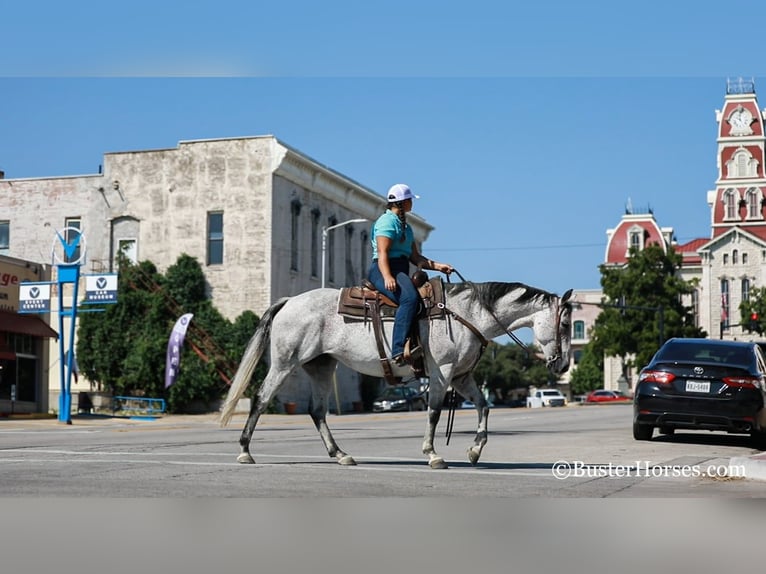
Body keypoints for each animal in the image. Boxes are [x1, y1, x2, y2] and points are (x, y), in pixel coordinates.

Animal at [219, 282, 572, 470]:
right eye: (567, 323)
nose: (563, 366)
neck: (466, 315)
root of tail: (289, 301)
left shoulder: (461, 377)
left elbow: (484, 407)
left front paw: (474, 450)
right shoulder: (442, 373)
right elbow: (433, 413)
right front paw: (433, 454)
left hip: (321, 366)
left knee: (317, 411)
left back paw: (341, 455)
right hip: (284, 362)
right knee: (261, 399)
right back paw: (245, 451)